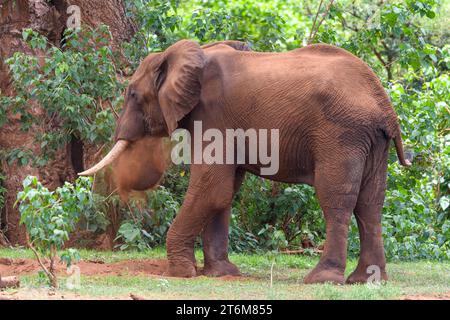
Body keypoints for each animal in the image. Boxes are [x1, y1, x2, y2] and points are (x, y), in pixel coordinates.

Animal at [79, 40, 410, 284]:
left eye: (133, 94)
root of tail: (384, 104)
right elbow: (224, 191)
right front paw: (221, 274)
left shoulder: (213, 115)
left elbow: (212, 187)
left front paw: (182, 273)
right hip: (372, 141)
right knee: (370, 204)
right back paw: (367, 280)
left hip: (342, 133)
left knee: (336, 199)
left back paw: (322, 279)